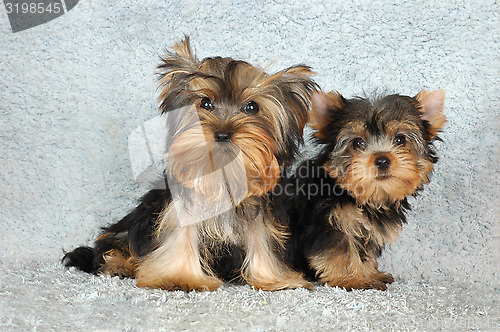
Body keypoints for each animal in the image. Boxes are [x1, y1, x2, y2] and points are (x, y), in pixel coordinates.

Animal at [62, 36, 318, 290]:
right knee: (114, 244)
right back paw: (119, 264)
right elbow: (182, 237)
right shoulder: (180, 208)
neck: (220, 173)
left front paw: (273, 278)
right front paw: (179, 277)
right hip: (131, 225)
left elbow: (260, 240)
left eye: (252, 107)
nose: (223, 133)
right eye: (205, 103)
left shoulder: (258, 210)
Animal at [288, 89, 448, 290]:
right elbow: (339, 251)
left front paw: (369, 273)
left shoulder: (367, 229)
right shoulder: (327, 223)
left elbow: (366, 252)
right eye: (358, 143)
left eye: (400, 139)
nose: (382, 160)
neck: (358, 196)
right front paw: (351, 279)